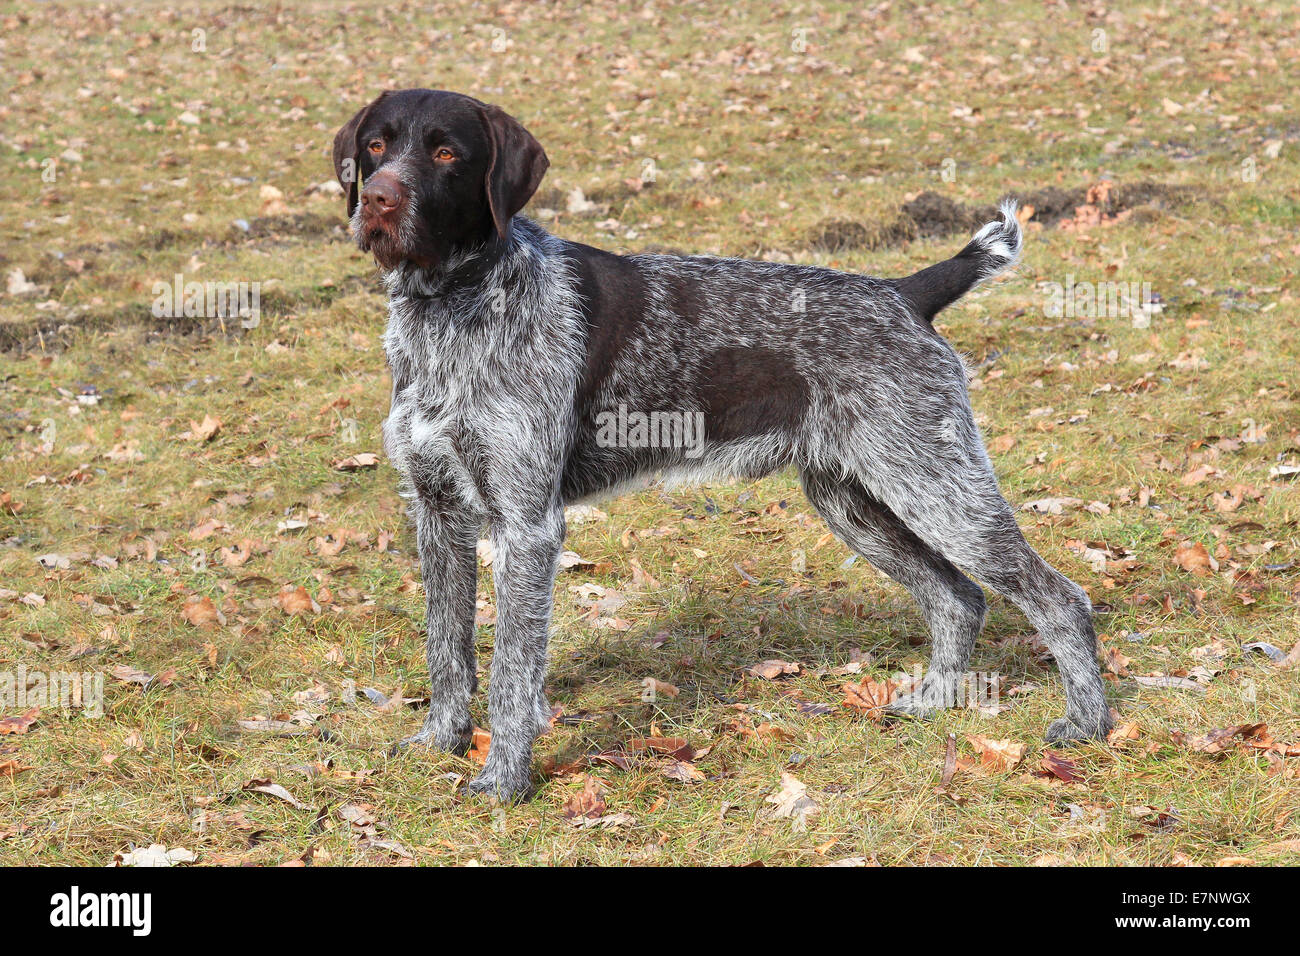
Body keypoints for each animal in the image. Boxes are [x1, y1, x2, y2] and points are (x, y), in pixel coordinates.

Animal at [330, 87, 1112, 801]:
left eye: (447, 153)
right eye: (376, 146)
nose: (380, 202)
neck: (448, 304)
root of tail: (903, 292)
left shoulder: (526, 525)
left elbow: (511, 673)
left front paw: (504, 780)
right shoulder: (437, 513)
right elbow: (447, 647)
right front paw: (441, 740)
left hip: (936, 486)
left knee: (1059, 598)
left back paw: (1087, 724)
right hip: (856, 501)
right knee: (958, 598)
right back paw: (934, 703)